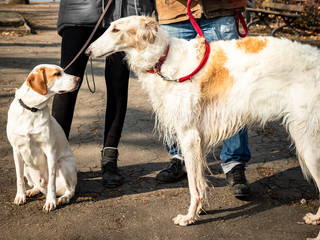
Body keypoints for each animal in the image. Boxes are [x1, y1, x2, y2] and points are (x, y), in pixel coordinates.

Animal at [6, 64, 79, 212]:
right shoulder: (16, 151)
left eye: (63, 71)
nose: (79, 79)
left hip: (63, 163)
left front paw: (51, 202)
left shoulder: (50, 150)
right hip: (27, 166)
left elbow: (51, 182)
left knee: (70, 190)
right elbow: (19, 179)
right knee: (38, 186)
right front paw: (20, 196)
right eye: (57, 74)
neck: (32, 109)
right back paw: (31, 191)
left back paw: (64, 198)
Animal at [86, 15, 320, 238]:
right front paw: (197, 212)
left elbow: (193, 185)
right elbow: (199, 180)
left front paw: (189, 217)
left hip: (307, 141)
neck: (163, 59)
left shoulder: (188, 135)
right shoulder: (195, 138)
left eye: (116, 29)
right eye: (110, 27)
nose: (87, 51)